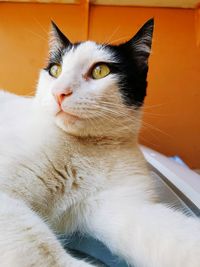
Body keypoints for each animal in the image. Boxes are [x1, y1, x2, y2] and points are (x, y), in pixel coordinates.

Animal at [0, 19, 200, 267]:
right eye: (55, 70)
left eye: (100, 71)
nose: (59, 92)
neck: (86, 150)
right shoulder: (7, 200)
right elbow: (39, 251)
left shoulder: (126, 204)